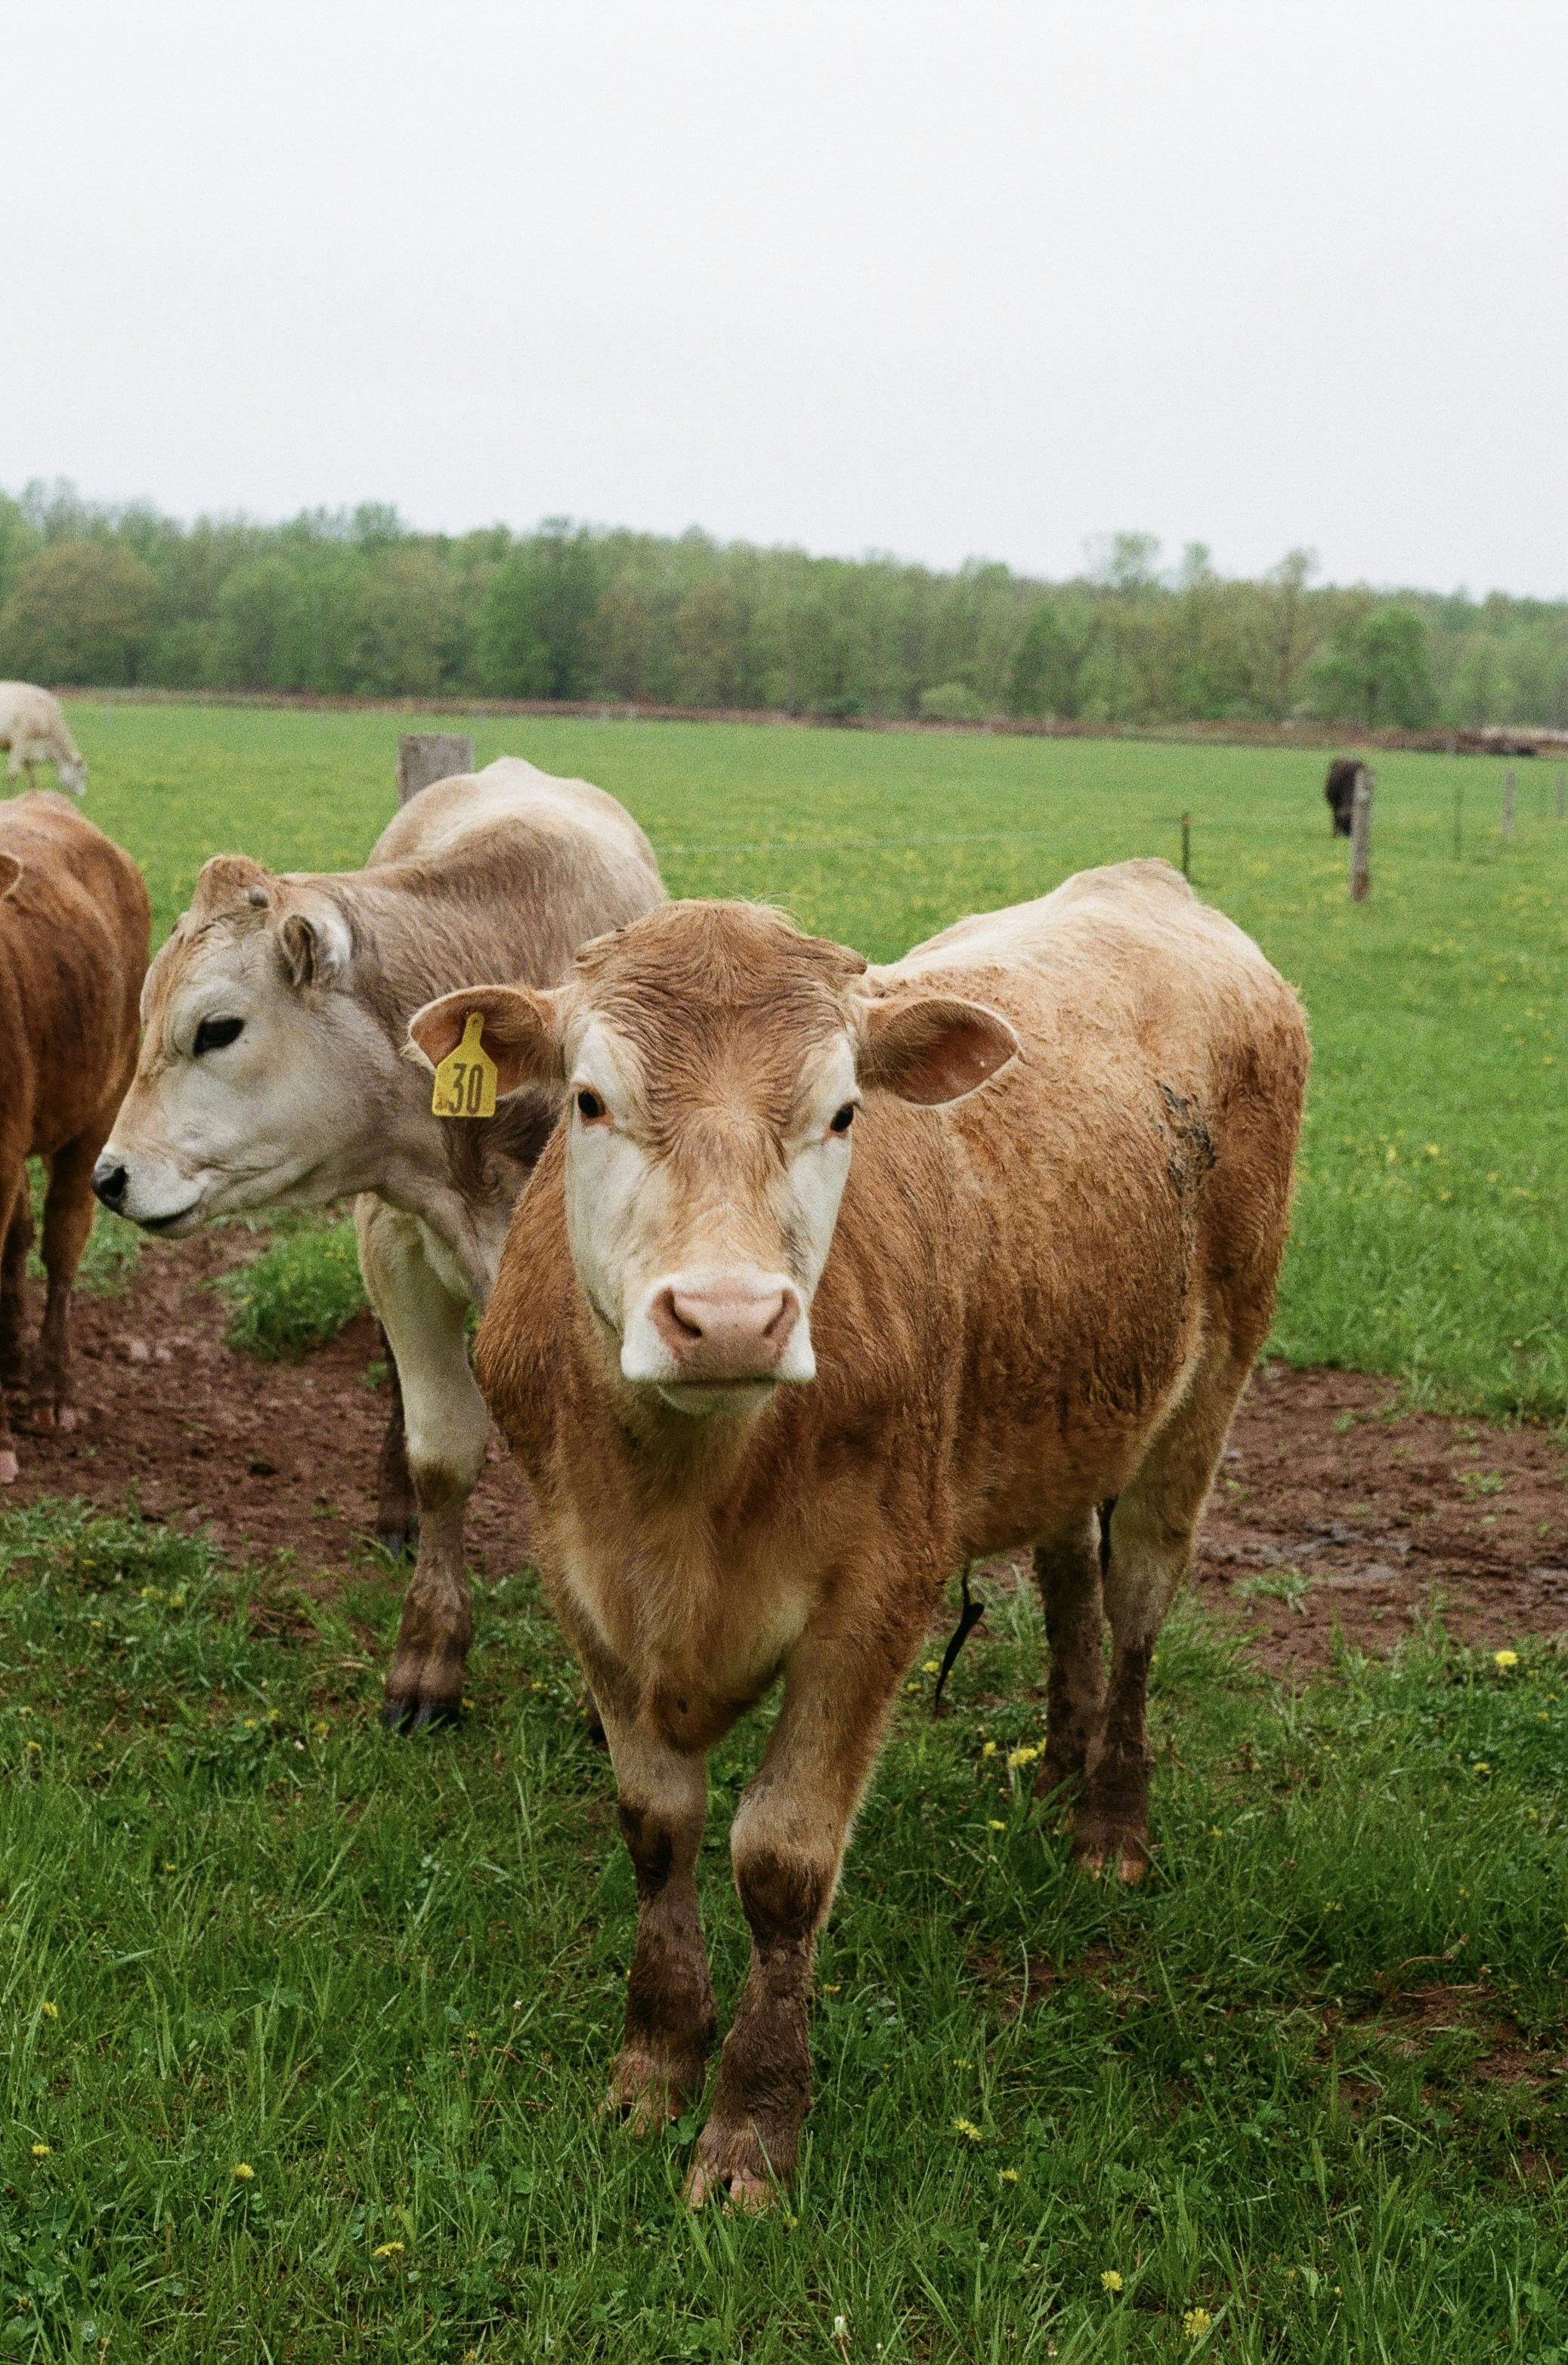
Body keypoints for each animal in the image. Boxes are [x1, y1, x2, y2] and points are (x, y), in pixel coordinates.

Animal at [0, 685, 89, 797]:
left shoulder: (30, 750)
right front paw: (9, 796)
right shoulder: (20, 742)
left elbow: (31, 774)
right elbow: (13, 772)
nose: (83, 794)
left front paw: (34, 795)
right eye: (83, 775)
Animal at [409, 861, 1308, 2203]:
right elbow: (655, 1824)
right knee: (1068, 1579)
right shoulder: (579, 1576)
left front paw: (750, 2125)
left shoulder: (878, 1591)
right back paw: (1055, 1766)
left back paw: (1108, 1822)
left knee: (1140, 1595)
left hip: (1207, 1384)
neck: (683, 1494)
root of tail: (1147, 882)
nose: (727, 1317)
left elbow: (781, 1857)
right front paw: (653, 2064)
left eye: (841, 1113)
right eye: (587, 1099)